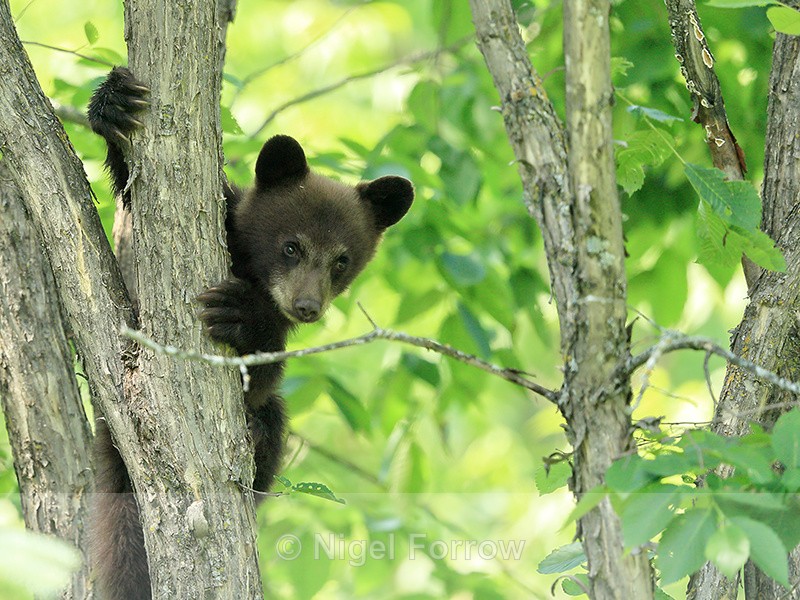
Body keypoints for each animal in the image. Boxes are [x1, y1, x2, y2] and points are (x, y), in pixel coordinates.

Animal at [87, 67, 413, 600]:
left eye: (342, 260)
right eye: (291, 246)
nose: (307, 307)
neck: (252, 270)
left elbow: (262, 375)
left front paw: (242, 314)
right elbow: (136, 194)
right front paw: (113, 104)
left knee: (273, 418)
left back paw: (257, 438)